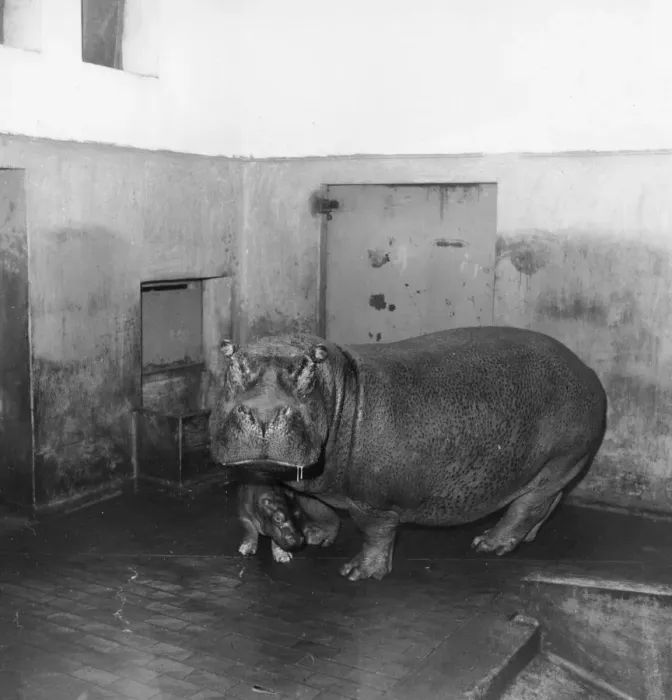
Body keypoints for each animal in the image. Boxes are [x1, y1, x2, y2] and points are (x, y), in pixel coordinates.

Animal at [210, 326, 607, 582]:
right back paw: (524, 539)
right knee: (547, 503)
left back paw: (488, 544)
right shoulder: (310, 482)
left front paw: (359, 573)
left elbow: (376, 532)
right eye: (230, 360)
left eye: (308, 367)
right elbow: (317, 508)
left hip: (560, 459)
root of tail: (586, 369)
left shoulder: (373, 501)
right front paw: (316, 537)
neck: (342, 387)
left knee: (528, 507)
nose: (263, 414)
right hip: (555, 469)